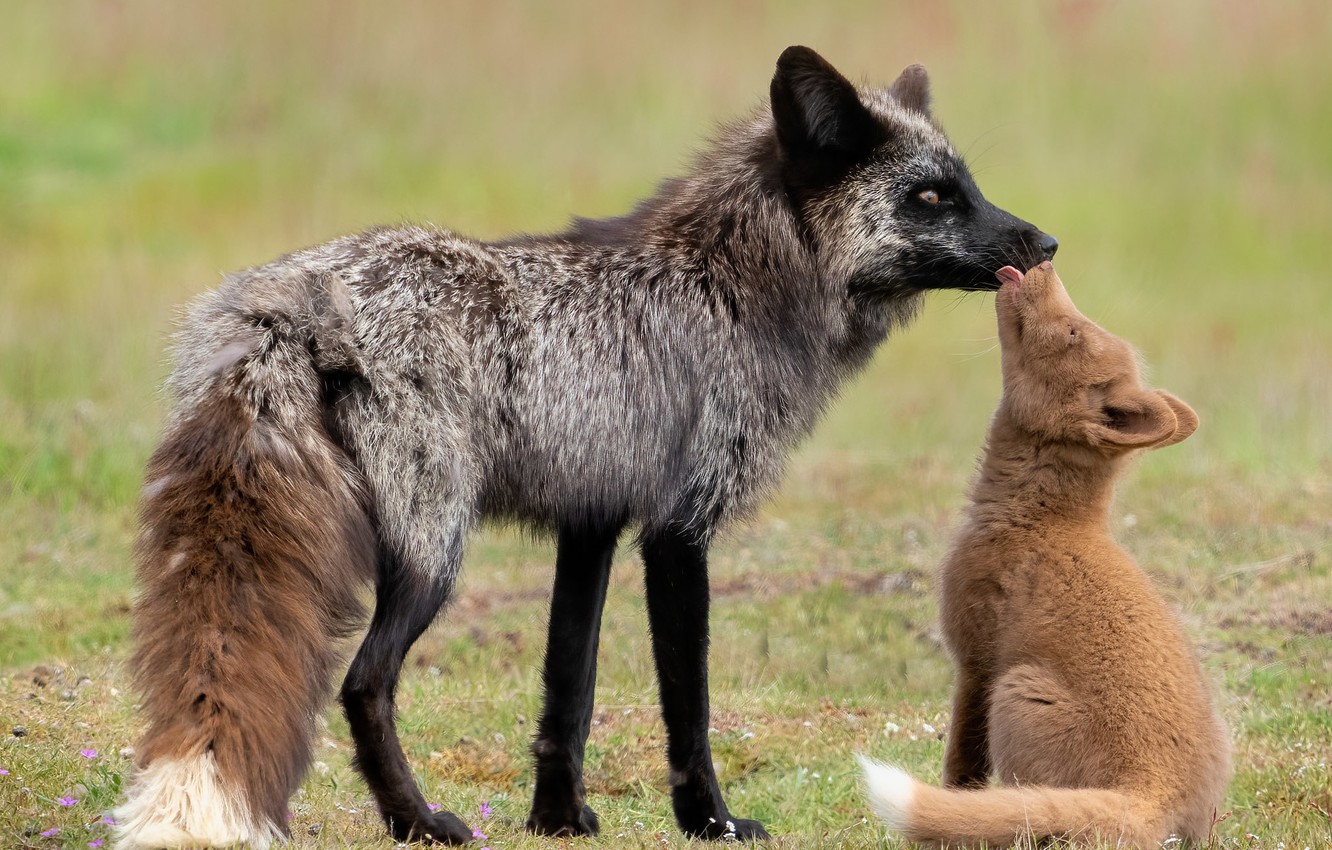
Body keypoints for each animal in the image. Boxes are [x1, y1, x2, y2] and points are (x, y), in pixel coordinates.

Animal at [115, 46, 1057, 849]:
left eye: (968, 187)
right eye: (930, 197)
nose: (1046, 243)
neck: (729, 289)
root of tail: (300, 296)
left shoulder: (592, 520)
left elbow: (569, 688)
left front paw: (557, 819)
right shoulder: (679, 528)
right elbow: (689, 704)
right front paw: (709, 821)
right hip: (433, 549)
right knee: (363, 682)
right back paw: (419, 822)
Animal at [860, 262, 1230, 848]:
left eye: (1074, 332)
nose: (1041, 262)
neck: (1041, 521)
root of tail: (1157, 793)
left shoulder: (976, 660)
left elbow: (961, 770)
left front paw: (950, 817)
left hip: (1017, 693)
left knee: (1031, 811)